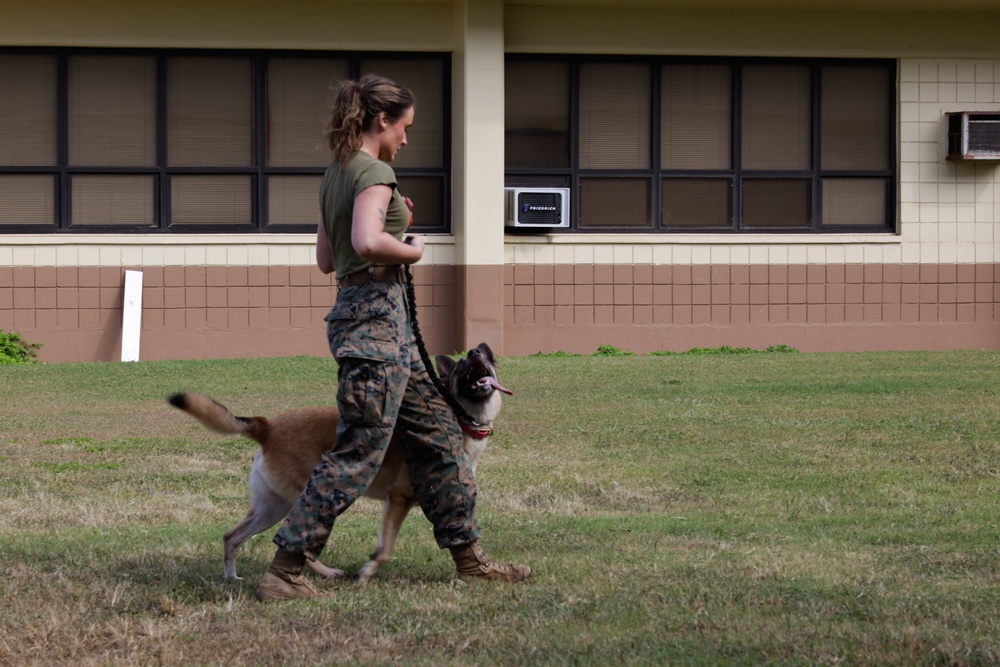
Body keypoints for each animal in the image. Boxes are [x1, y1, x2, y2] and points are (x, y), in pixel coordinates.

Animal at [169, 344, 512, 584]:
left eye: (486, 357)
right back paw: (326, 573)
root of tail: (267, 427)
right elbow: (385, 549)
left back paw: (232, 577)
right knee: (298, 540)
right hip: (313, 497)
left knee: (232, 537)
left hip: (273, 506)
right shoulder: (399, 498)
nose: (477, 349)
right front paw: (367, 572)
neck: (459, 418)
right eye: (464, 364)